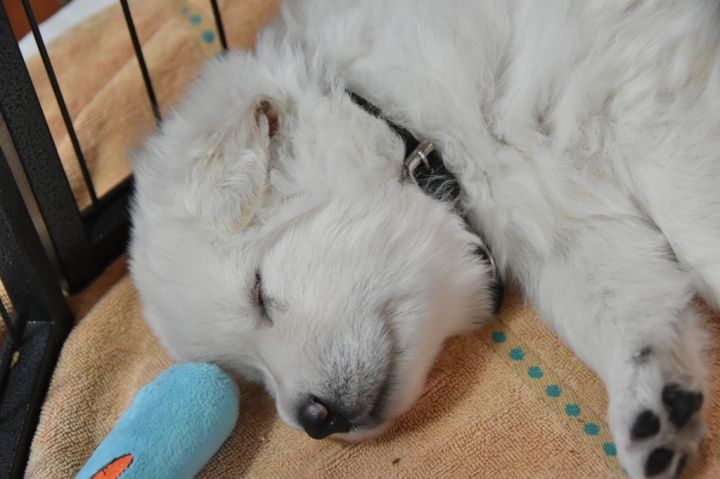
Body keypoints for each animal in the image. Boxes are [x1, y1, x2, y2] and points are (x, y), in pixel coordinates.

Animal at [129, 1, 720, 477]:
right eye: (251, 378)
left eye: (259, 291)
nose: (314, 420)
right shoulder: (560, 225)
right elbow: (616, 304)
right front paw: (654, 405)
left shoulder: (641, 94)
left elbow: (696, 224)